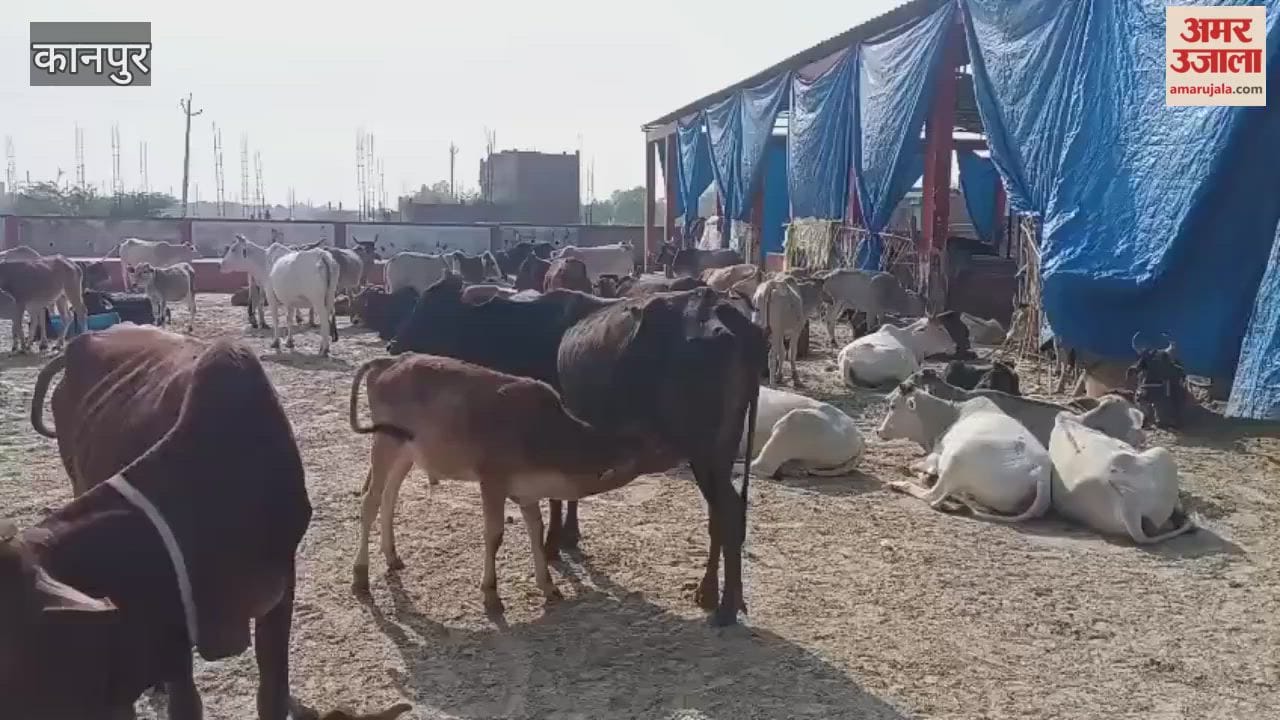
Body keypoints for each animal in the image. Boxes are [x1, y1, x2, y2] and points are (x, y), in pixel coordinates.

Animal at [348, 354, 645, 612]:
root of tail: (388, 361)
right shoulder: (492, 481)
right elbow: (495, 534)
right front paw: (491, 594)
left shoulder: (527, 490)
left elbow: (536, 530)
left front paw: (548, 586)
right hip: (384, 443)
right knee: (370, 501)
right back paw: (360, 576)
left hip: (406, 453)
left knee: (389, 498)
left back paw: (392, 556)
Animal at [877, 385, 1053, 523]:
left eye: (893, 406)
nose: (879, 431)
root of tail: (1040, 470)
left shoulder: (938, 452)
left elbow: (920, 464)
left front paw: (923, 472)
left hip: (956, 459)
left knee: (934, 496)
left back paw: (902, 484)